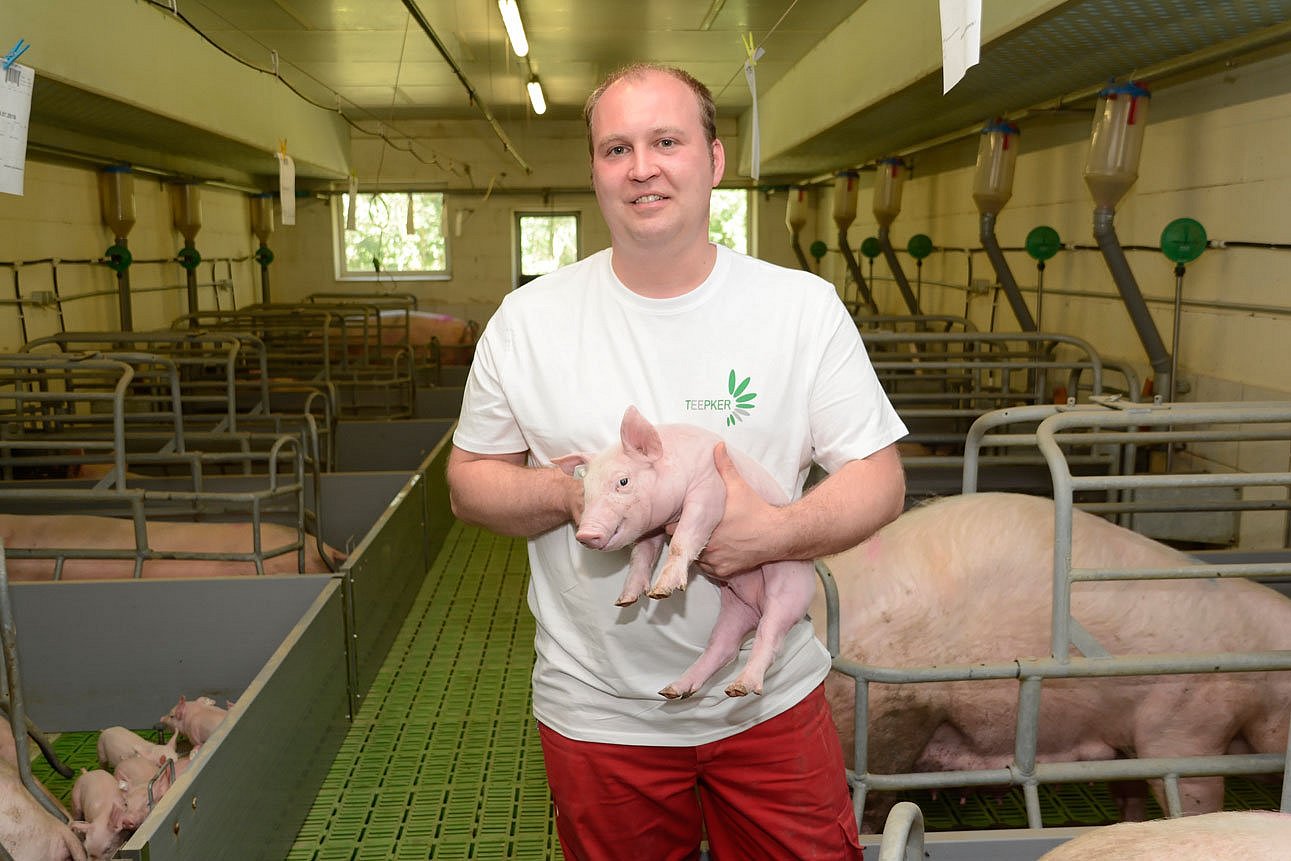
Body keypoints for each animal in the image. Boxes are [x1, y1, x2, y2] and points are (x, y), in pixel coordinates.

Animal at [555, 405, 815, 702]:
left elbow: (684, 536)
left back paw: (740, 688)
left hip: (790, 590)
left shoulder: (709, 489)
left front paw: (661, 592)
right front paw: (625, 601)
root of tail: (757, 607)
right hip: (735, 607)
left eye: (623, 481)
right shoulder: (652, 527)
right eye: (585, 491)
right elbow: (642, 554)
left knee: (770, 637)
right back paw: (673, 690)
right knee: (723, 647)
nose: (585, 534)